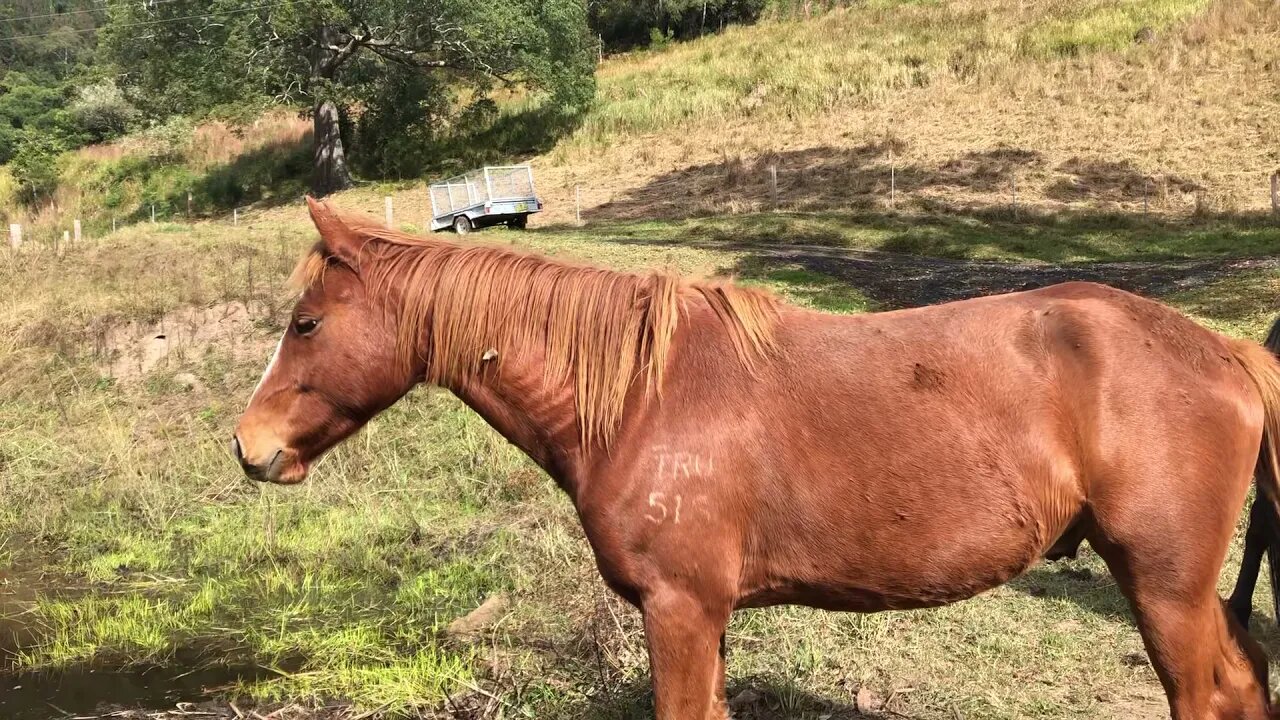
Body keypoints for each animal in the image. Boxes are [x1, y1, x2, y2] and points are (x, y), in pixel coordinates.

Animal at [238, 197, 1280, 717]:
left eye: (306, 323)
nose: (249, 448)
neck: (644, 397)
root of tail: (1226, 350)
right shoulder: (706, 617)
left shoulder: (680, 611)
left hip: (1164, 589)